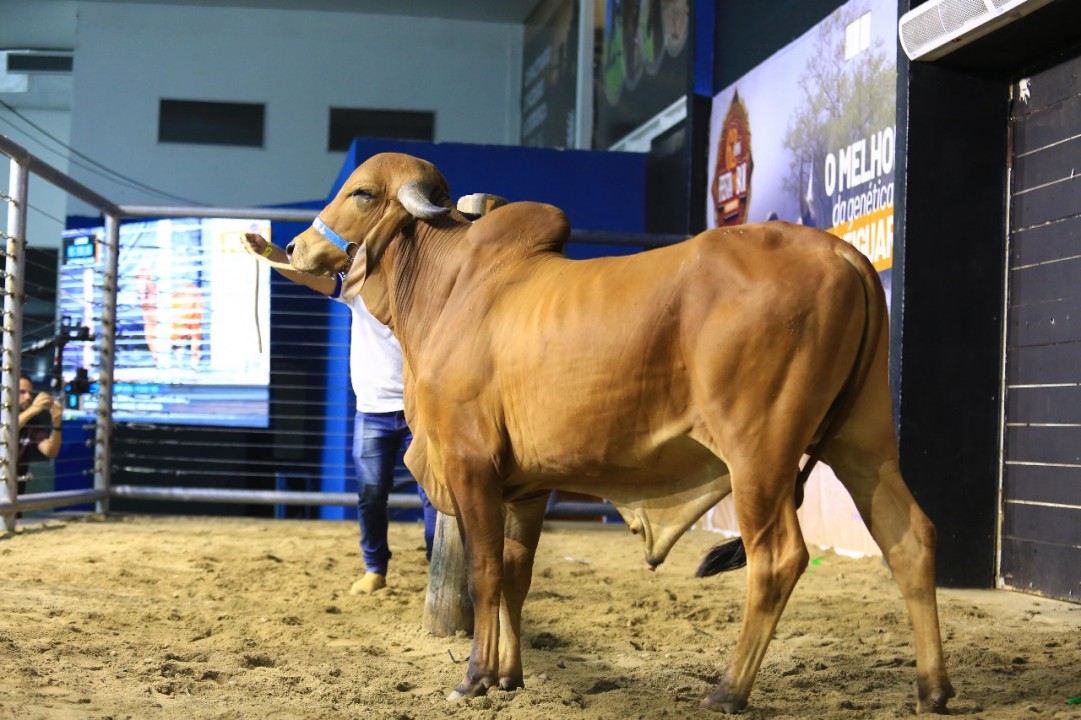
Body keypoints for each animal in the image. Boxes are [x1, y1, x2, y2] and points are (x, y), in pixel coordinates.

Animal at [281, 152, 955, 713]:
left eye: (362, 192)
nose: (296, 243)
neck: (446, 290)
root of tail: (844, 254)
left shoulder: (471, 466)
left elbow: (486, 574)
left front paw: (474, 679)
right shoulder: (526, 486)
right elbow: (517, 577)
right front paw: (508, 675)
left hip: (759, 454)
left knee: (778, 559)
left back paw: (729, 690)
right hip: (864, 443)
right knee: (909, 537)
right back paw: (933, 688)